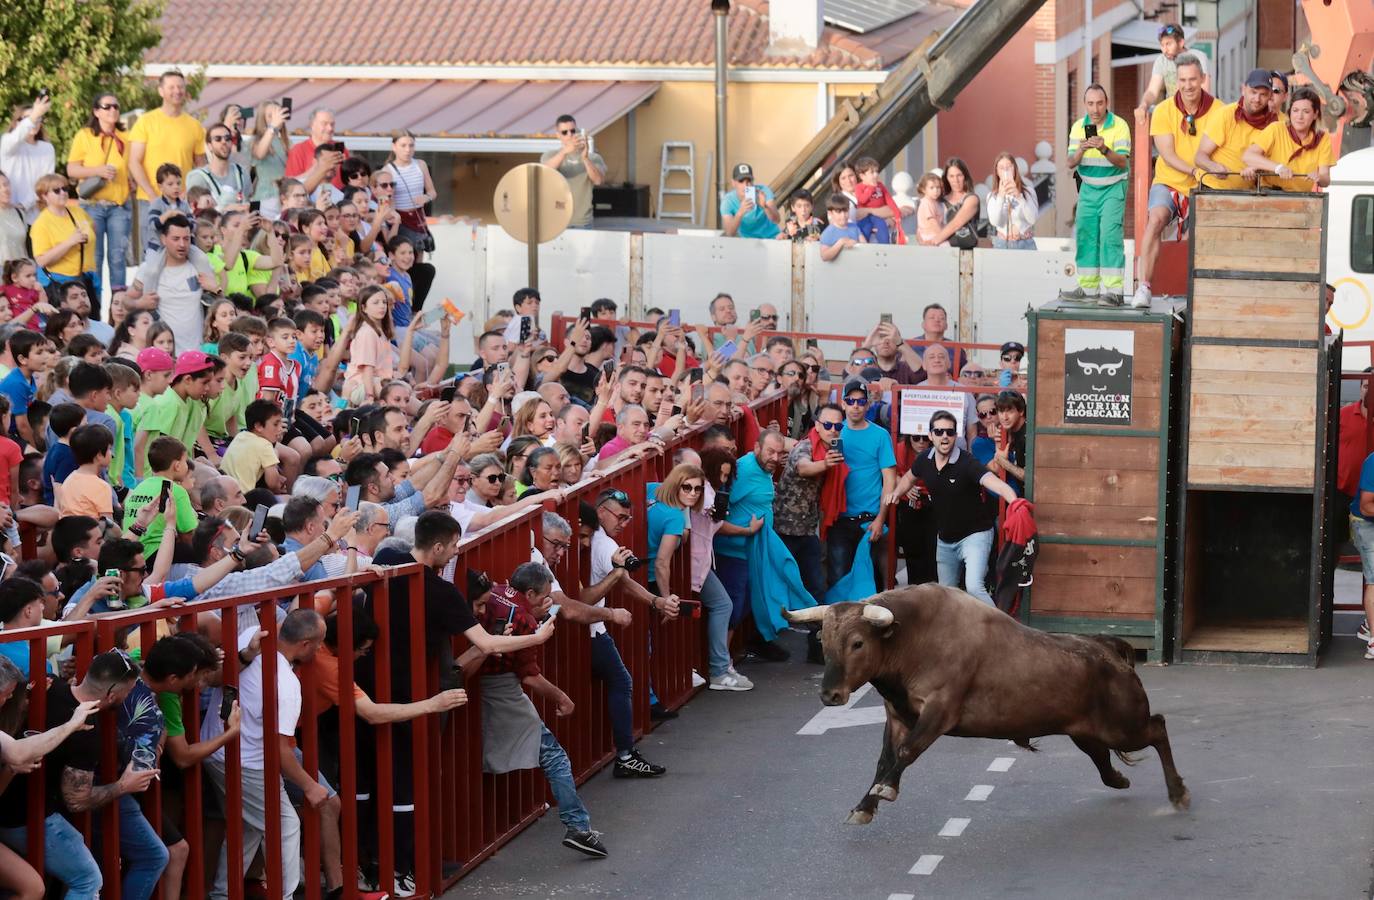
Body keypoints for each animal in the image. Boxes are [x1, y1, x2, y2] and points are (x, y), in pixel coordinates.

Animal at [785, 585, 1192, 824]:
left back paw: (1178, 793)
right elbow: (885, 759)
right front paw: (864, 806)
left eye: (857, 642)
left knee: (1158, 727)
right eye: (823, 640)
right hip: (1088, 732)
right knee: (1103, 760)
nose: (830, 695)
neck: (912, 636)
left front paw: (885, 790)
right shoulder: (898, 716)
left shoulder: (939, 712)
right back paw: (1122, 780)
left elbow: (906, 752)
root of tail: (1110, 651)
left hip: (1124, 725)